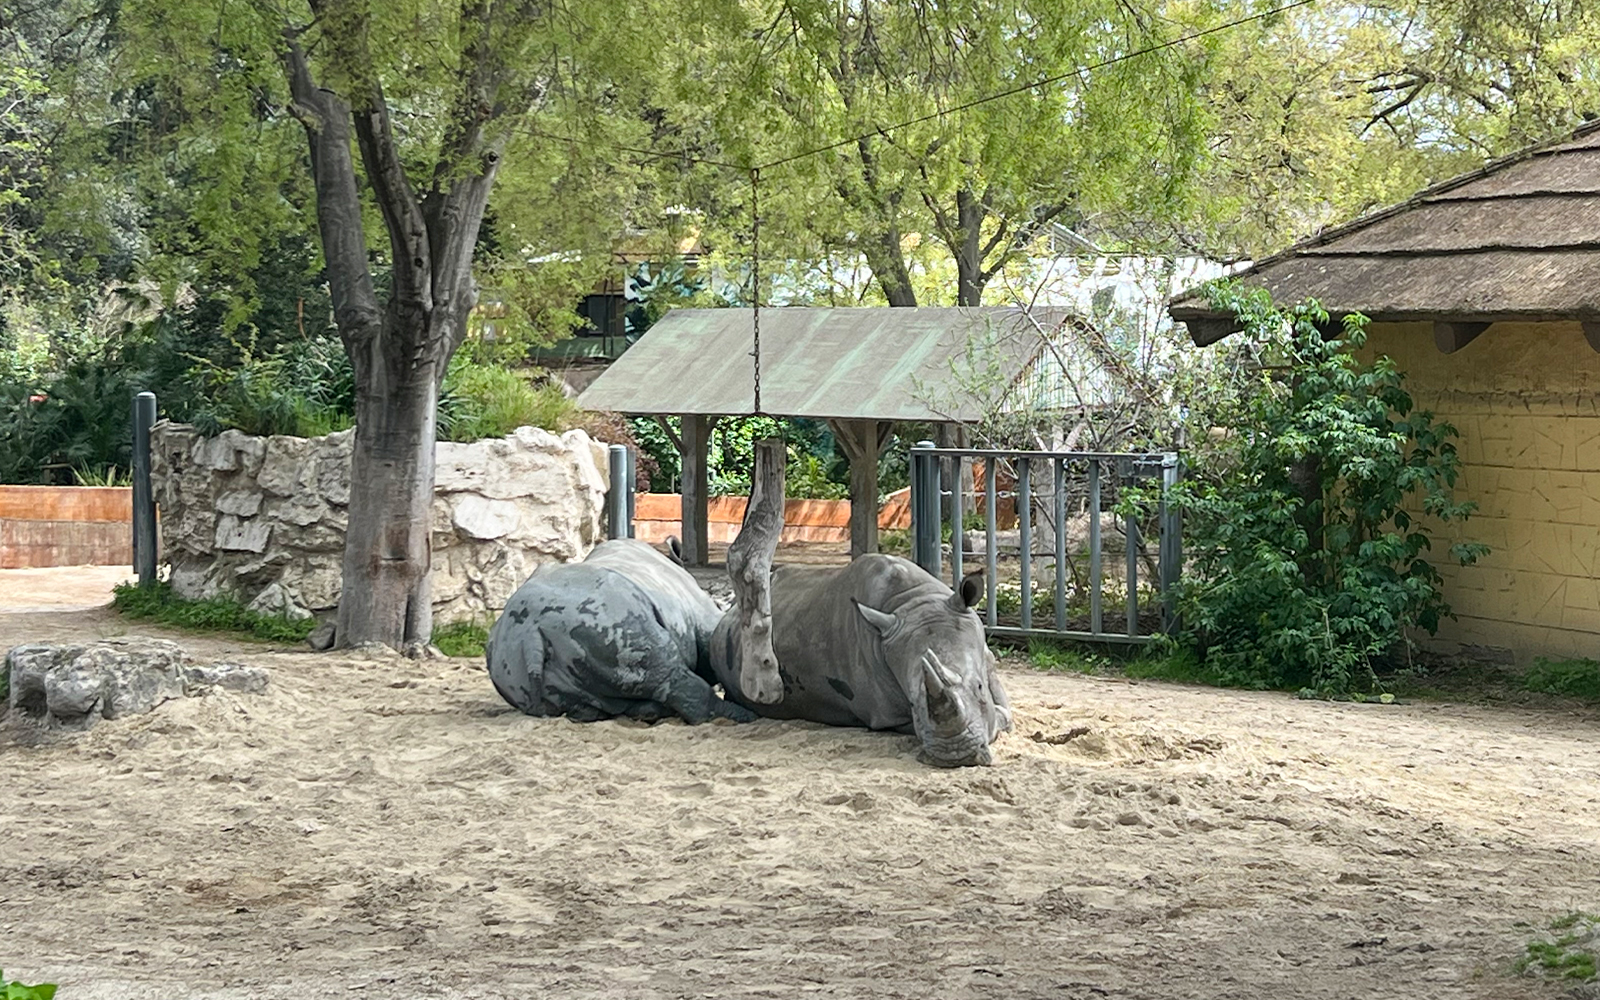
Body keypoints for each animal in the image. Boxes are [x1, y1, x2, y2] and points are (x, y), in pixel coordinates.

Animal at [486, 538, 783, 724]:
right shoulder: (705, 620)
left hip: (514, 666)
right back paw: (741, 717)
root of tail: (530, 634)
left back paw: (641, 714)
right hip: (606, 619)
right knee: (666, 669)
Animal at [709, 554, 1013, 767]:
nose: (954, 756)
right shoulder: (887, 715)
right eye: (912, 703)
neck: (914, 600)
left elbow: (1004, 711)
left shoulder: (986, 656)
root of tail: (728, 614)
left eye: (979, 688)